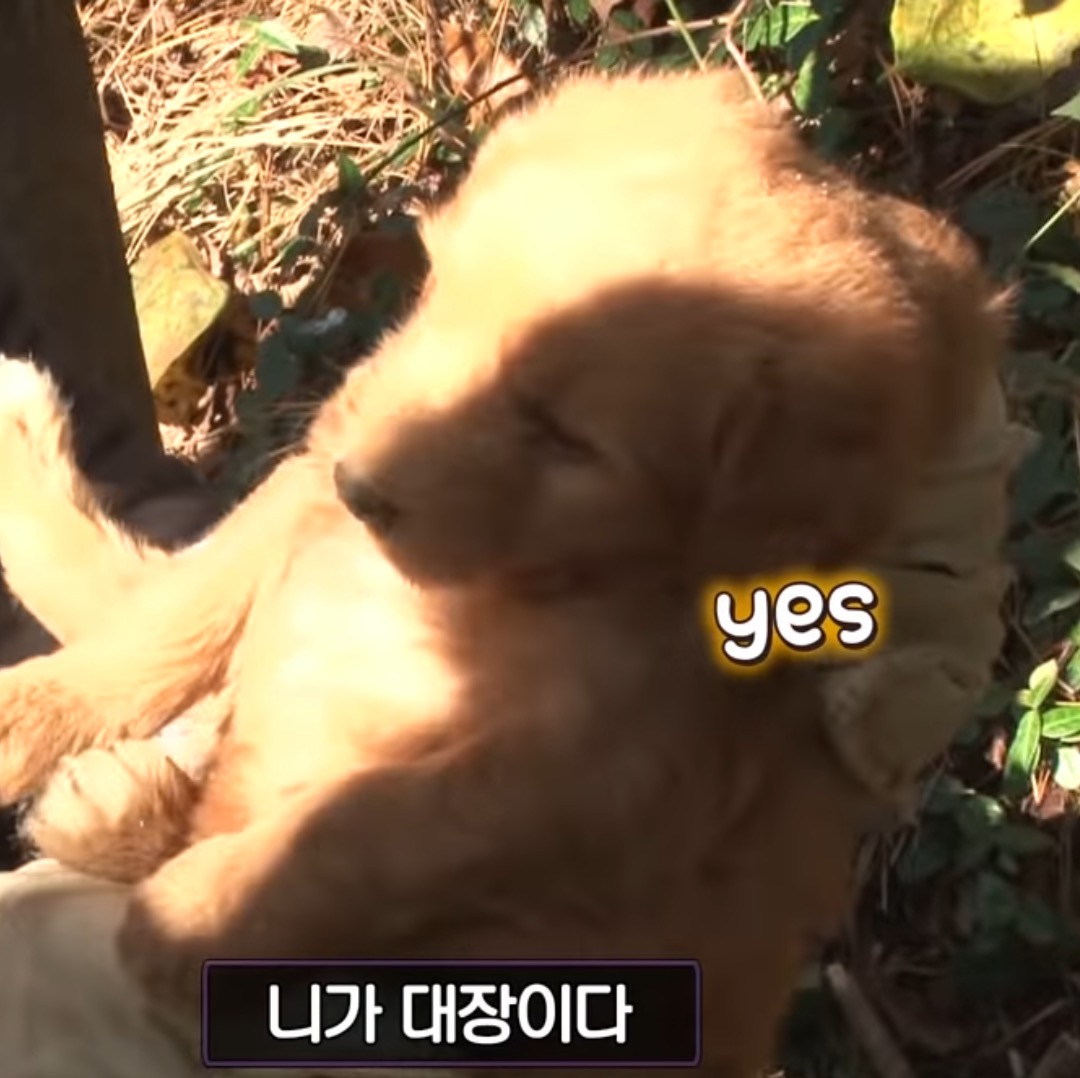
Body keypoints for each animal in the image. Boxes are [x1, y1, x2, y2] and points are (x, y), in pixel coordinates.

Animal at [0, 68, 1007, 1074]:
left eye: (567, 437)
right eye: (438, 294)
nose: (361, 485)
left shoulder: (598, 767)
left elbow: (369, 827)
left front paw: (192, 917)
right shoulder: (312, 483)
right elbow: (179, 616)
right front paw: (43, 712)